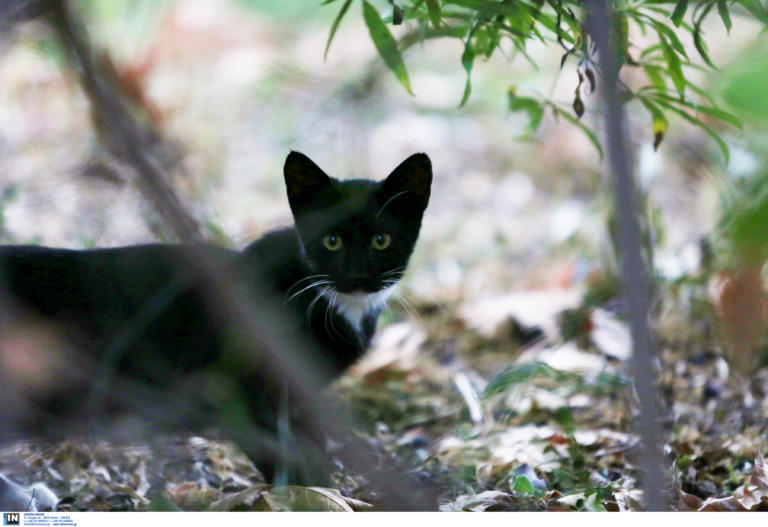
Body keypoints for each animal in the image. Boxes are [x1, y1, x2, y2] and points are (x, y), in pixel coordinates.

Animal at [0, 151, 432, 484]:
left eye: (381, 241)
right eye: (332, 241)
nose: (357, 274)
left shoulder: (296, 397)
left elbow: (310, 446)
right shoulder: (239, 393)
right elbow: (284, 456)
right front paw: (304, 498)